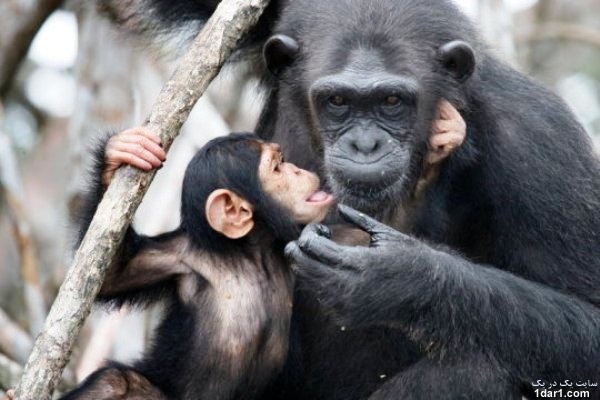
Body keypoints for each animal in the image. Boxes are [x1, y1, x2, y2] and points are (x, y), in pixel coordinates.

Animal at [63, 131, 336, 400]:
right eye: (277, 167)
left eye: (284, 161)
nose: (297, 170)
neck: (251, 254)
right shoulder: (177, 257)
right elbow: (112, 275)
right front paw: (122, 152)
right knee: (114, 383)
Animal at [96, 0, 600, 396]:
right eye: (338, 101)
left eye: (392, 101)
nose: (364, 144)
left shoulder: (539, 141)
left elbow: (587, 319)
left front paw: (396, 277)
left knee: (477, 371)